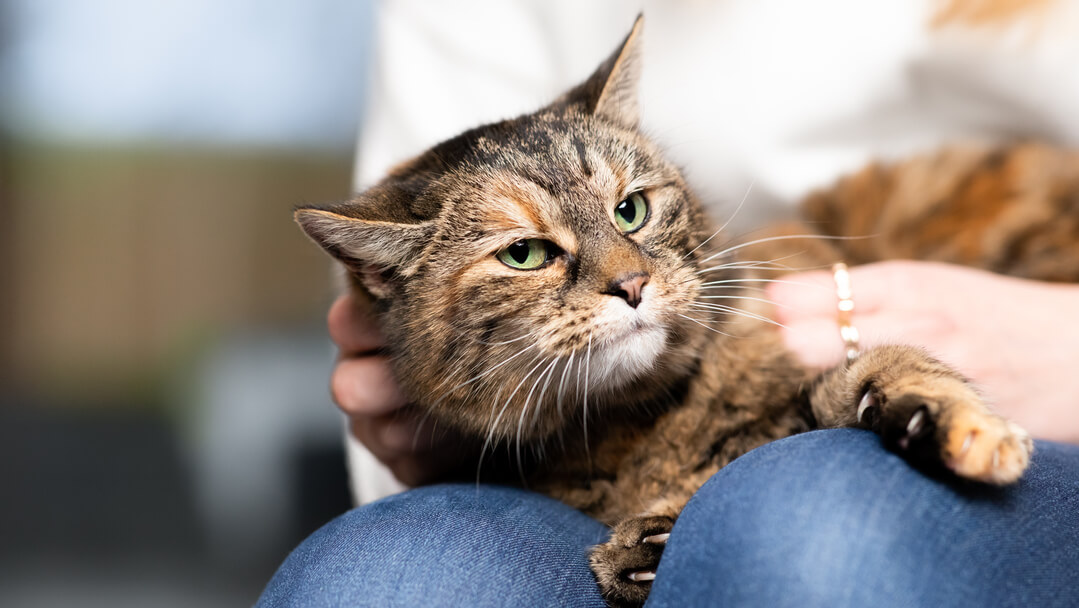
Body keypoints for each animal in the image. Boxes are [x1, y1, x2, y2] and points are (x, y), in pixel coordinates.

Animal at [295, 16, 1079, 604]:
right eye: (524, 254)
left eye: (631, 210)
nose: (632, 283)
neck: (642, 424)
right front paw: (650, 543)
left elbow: (888, 370)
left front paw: (955, 426)